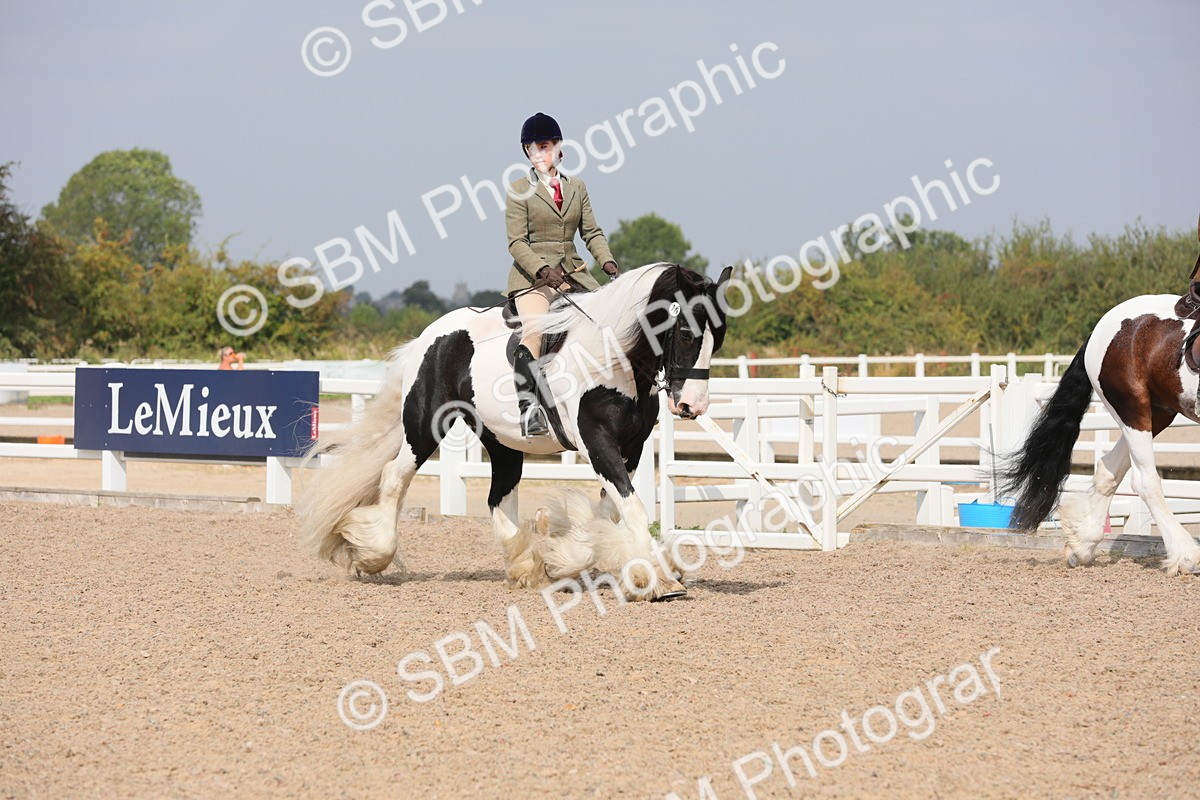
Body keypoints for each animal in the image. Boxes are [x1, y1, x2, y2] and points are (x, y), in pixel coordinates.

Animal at [299, 262, 734, 600]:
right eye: (686, 333)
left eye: (719, 338)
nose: (692, 406)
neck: (612, 359)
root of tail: (429, 335)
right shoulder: (597, 443)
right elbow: (631, 508)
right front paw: (656, 579)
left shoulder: (631, 448)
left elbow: (610, 511)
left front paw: (566, 554)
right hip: (425, 427)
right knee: (394, 476)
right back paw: (372, 555)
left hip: (501, 441)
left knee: (498, 497)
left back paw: (526, 563)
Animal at [999, 293, 1200, 576]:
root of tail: (1102, 325)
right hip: (1132, 409)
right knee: (1145, 481)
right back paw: (1185, 554)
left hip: (1158, 412)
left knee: (1108, 470)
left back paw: (1082, 544)